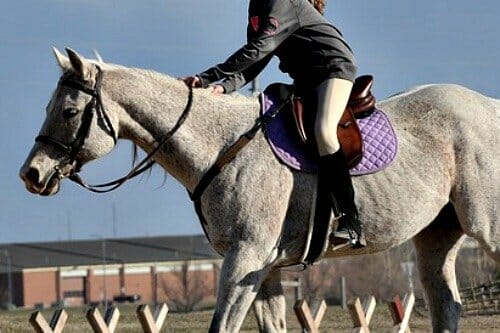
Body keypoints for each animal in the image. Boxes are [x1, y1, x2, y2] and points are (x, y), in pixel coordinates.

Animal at [19, 48, 500, 330]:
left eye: (68, 111)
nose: (32, 174)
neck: (221, 145)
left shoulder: (245, 258)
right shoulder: (264, 267)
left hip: (488, 229)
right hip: (437, 237)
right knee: (447, 304)